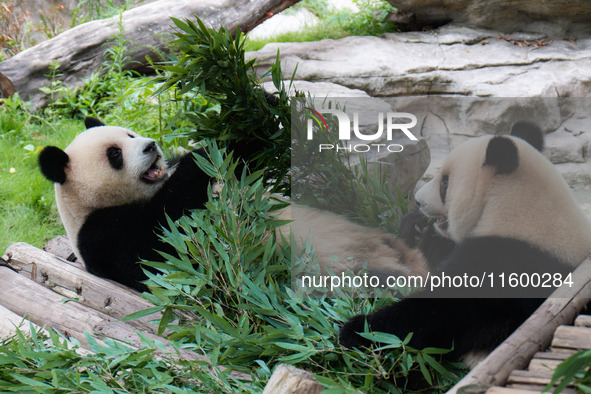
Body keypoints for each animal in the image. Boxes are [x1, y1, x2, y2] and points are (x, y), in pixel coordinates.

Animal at [39, 117, 428, 292]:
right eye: (115, 154)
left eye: (130, 134)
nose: (151, 146)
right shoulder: (104, 234)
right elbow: (164, 243)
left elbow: (241, 167)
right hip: (340, 270)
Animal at [340, 122, 591, 370]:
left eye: (445, 182)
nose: (418, 200)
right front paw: (416, 227)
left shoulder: (507, 264)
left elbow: (439, 314)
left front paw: (359, 330)